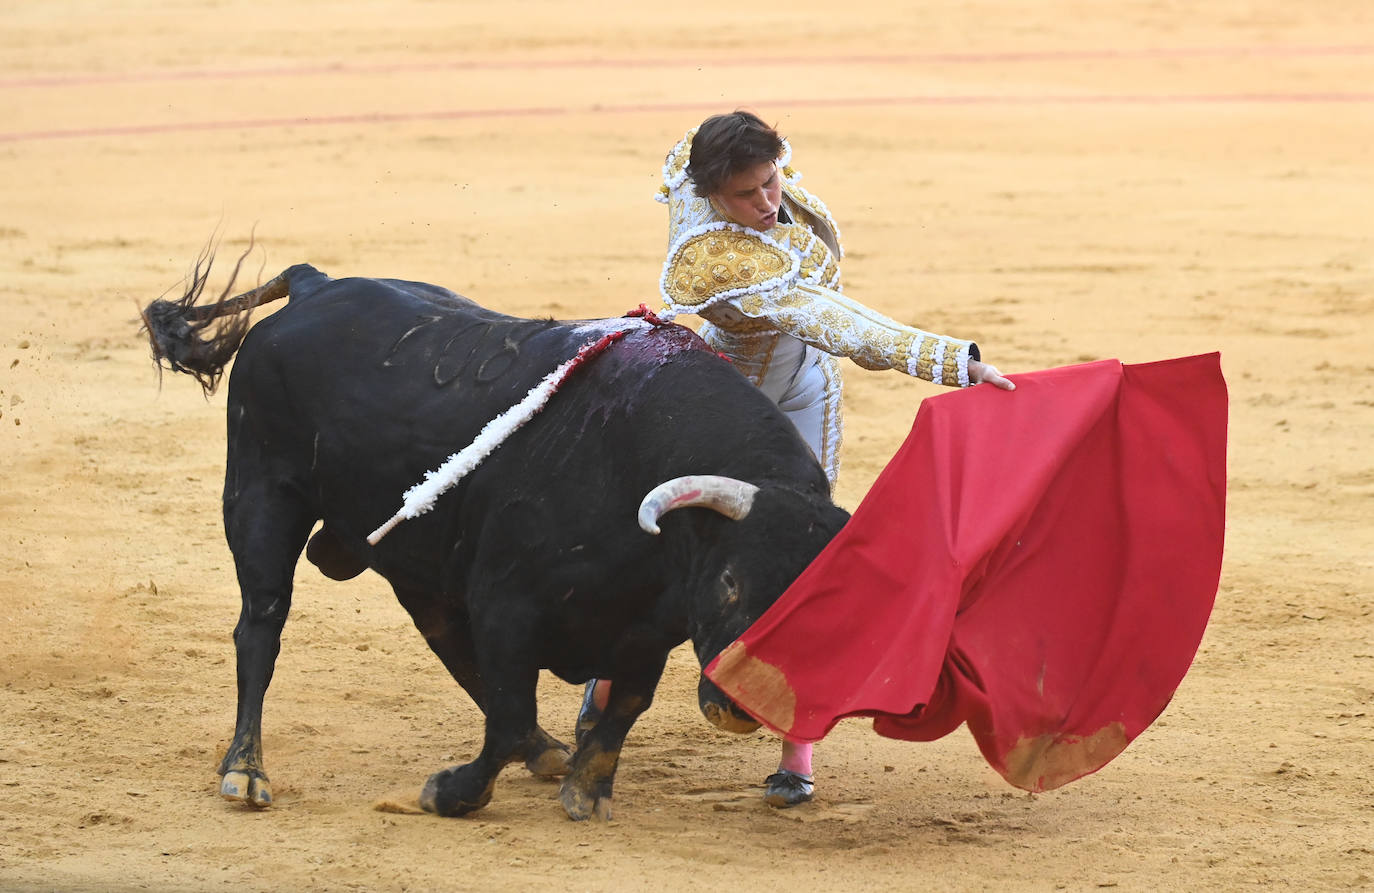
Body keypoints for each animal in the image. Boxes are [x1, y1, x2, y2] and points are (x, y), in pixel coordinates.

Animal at [142, 261, 846, 818]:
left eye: (825, 606)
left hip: (419, 552)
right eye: (730, 582)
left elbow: (622, 708)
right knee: (261, 625)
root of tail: (315, 286)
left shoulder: (649, 626)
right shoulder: (508, 604)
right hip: (261, 496)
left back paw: (548, 752)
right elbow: (507, 715)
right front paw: (450, 793)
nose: (742, 708)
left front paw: (586, 791)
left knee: (441, 634)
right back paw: (245, 771)